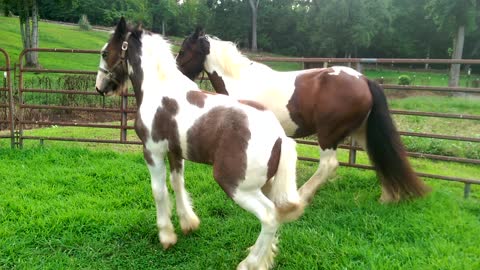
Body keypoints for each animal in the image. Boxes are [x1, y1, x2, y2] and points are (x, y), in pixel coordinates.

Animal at [95, 17, 322, 268]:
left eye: (105, 52)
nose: (99, 86)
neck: (160, 90)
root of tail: (279, 136)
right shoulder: (175, 152)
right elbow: (177, 183)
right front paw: (189, 224)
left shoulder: (152, 151)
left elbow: (159, 190)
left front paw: (167, 236)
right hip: (267, 185)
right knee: (277, 216)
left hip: (237, 187)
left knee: (270, 216)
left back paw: (249, 263)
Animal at [177, 29, 432, 202]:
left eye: (182, 51)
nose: (176, 72)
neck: (240, 80)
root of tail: (364, 80)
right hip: (361, 132)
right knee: (378, 156)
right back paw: (388, 197)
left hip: (328, 134)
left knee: (329, 165)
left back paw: (299, 196)